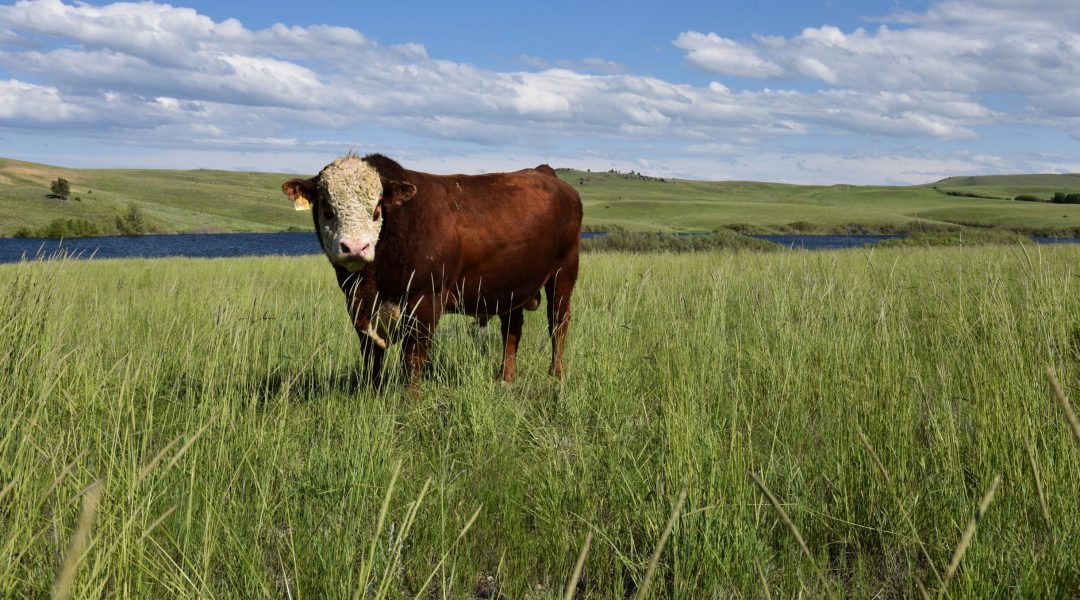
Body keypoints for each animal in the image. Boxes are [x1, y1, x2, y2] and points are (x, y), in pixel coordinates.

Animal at [281, 153, 582, 390]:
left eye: (377, 207)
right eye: (326, 206)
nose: (355, 247)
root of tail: (545, 173)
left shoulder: (425, 299)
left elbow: (413, 356)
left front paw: (410, 405)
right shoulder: (358, 304)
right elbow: (372, 355)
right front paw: (372, 394)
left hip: (564, 271)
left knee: (558, 322)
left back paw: (555, 376)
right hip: (511, 285)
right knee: (512, 328)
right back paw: (505, 379)